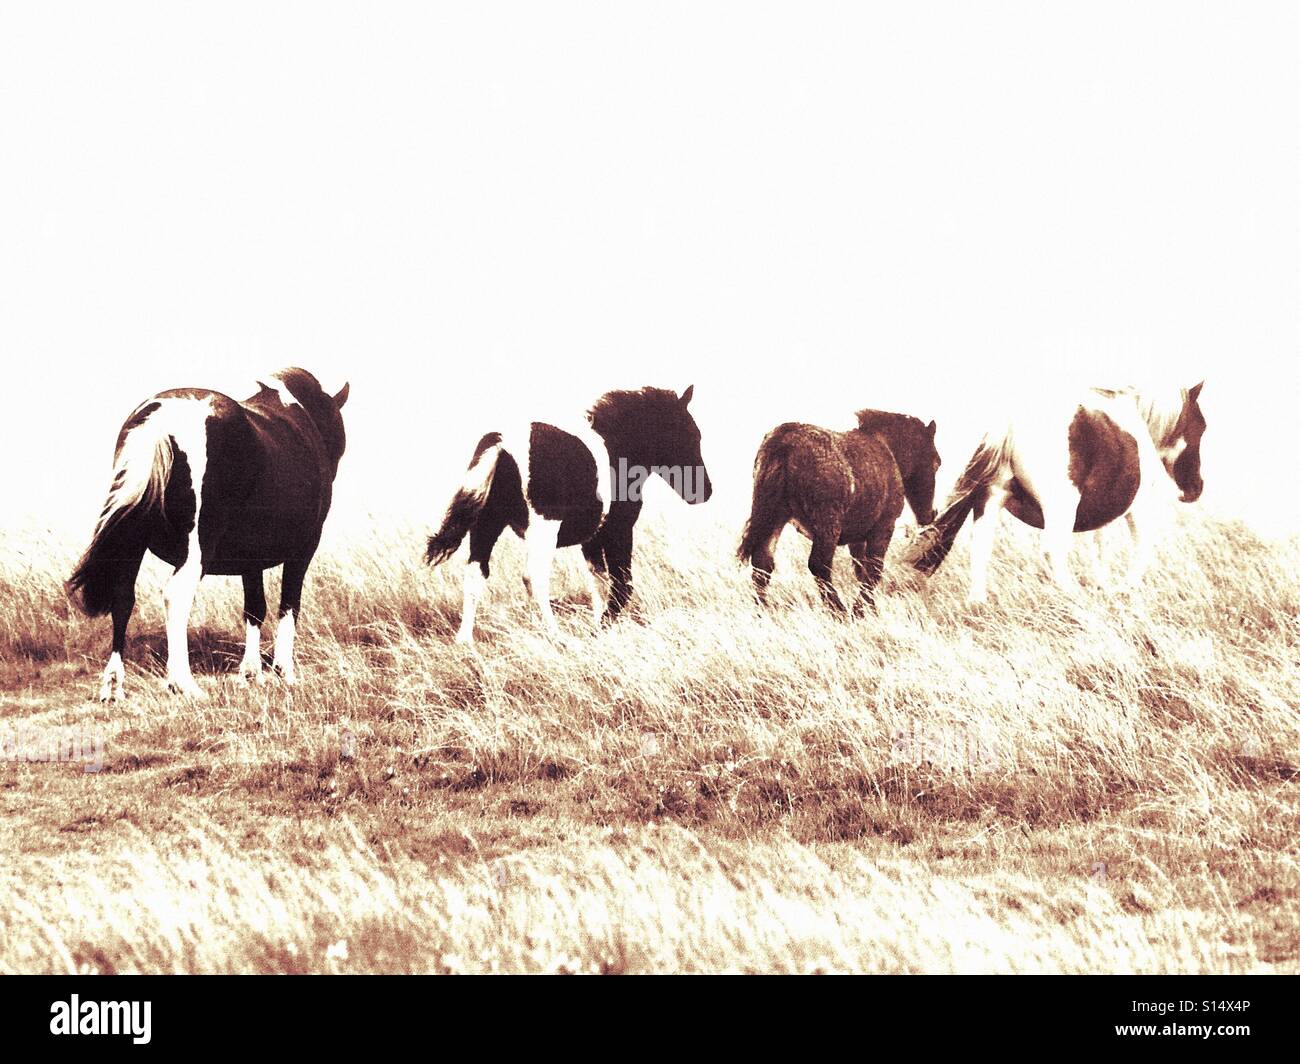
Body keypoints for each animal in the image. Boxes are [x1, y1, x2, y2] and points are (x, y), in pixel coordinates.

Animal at [64, 369, 351, 702]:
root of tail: (162, 419)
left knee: (123, 598)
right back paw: (183, 683)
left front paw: (250, 674)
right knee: (176, 594)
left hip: (131, 541)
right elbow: (288, 606)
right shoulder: (303, 549)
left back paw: (113, 686)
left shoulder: (250, 561)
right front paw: (284, 672)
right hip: (196, 548)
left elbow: (255, 609)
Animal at [423, 387, 712, 642]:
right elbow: (621, 583)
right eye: (690, 434)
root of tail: (503, 445)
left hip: (486, 525)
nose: (705, 492)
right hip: (543, 529)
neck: (615, 449)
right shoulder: (619, 529)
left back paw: (465, 641)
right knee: (533, 577)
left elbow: (598, 581)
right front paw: (600, 627)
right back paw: (556, 635)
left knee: (476, 573)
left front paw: (600, 625)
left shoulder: (592, 537)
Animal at [738, 408, 941, 613]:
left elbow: (861, 571)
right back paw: (838, 610)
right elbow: (873, 571)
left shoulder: (858, 537)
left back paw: (763, 609)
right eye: (936, 463)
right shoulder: (883, 527)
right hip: (827, 526)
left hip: (775, 518)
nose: (930, 514)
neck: (887, 448)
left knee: (762, 564)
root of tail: (783, 442)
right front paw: (861, 610)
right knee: (819, 565)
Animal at [909, 379, 1201, 598]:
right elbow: (1143, 550)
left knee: (981, 546)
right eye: (1201, 428)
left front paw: (1105, 587)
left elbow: (1100, 550)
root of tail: (1012, 421)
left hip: (992, 497)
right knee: (1053, 550)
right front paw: (1122, 590)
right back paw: (1074, 596)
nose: (1195, 489)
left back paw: (977, 603)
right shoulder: (1136, 507)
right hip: (1060, 506)